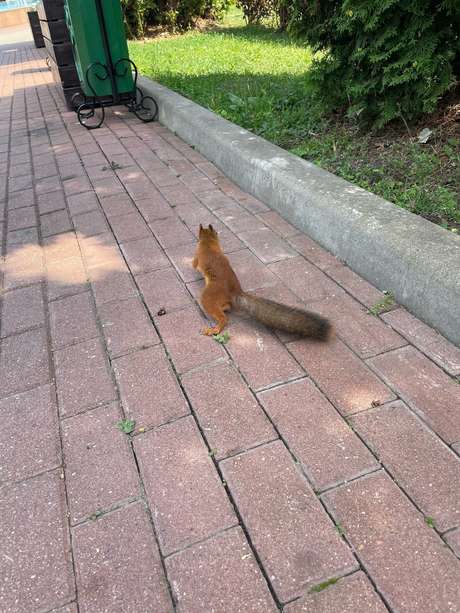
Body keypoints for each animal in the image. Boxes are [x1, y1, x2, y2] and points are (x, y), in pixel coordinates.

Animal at [192, 224, 332, 340]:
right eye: (215, 232)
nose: (218, 233)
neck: (208, 243)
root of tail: (235, 291)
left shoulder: (197, 256)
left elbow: (194, 264)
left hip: (208, 297)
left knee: (223, 318)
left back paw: (215, 329)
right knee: (227, 307)